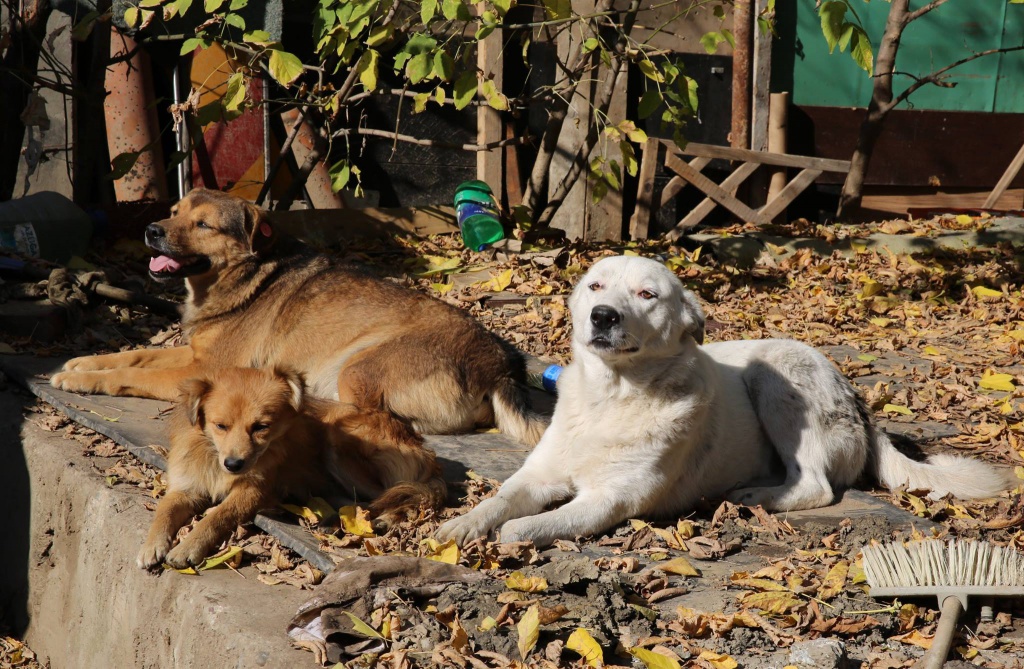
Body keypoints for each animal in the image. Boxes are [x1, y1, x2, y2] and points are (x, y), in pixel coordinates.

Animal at [51, 186, 548, 442]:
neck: (243, 274)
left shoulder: (200, 370)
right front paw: (82, 363)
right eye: (174, 212)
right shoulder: (193, 354)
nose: (152, 230)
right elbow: (132, 354)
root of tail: (500, 366)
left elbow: (131, 373)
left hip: (359, 366)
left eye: (203, 225)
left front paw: (83, 380)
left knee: (366, 416)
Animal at [135, 364, 440, 569]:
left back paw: (381, 518)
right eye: (220, 426)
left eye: (261, 427)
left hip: (337, 444)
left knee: (401, 493)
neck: (213, 455)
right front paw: (152, 545)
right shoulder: (185, 487)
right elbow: (164, 510)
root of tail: (421, 444)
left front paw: (190, 546)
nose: (234, 465)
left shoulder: (255, 491)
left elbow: (217, 516)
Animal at [436, 253, 1011, 545]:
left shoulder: (612, 499)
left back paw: (752, 495)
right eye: (596, 286)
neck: (612, 399)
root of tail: (858, 400)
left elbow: (536, 524)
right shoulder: (537, 475)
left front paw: (513, 533)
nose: (603, 315)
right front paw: (460, 525)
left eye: (648, 295)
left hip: (777, 378)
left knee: (816, 485)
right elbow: (499, 499)